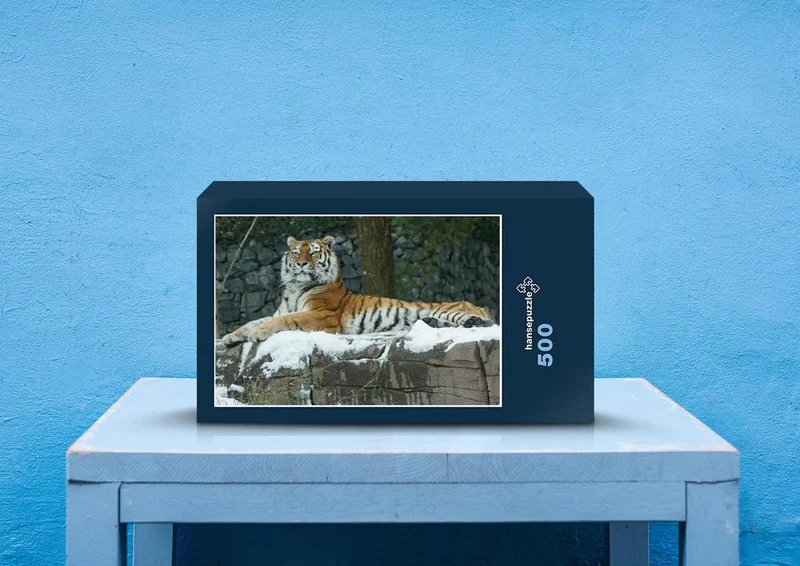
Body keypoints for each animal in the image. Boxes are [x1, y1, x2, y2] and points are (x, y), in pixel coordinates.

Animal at [220, 235, 495, 347]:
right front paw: (230, 337)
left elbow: (284, 320)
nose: (301, 264)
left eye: (314, 252)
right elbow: (253, 320)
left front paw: (257, 333)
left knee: (486, 324)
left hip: (452, 311)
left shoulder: (321, 316)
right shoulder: (280, 310)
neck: (296, 288)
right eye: (297, 252)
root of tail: (478, 304)